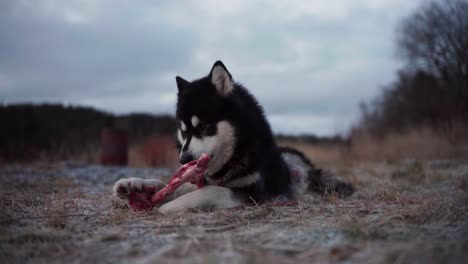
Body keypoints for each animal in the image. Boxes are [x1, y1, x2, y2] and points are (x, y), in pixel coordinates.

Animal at [112, 60, 352, 212]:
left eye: (205, 126)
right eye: (183, 130)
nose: (184, 159)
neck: (236, 156)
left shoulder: (255, 194)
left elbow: (209, 191)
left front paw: (170, 205)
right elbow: (173, 185)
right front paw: (136, 185)